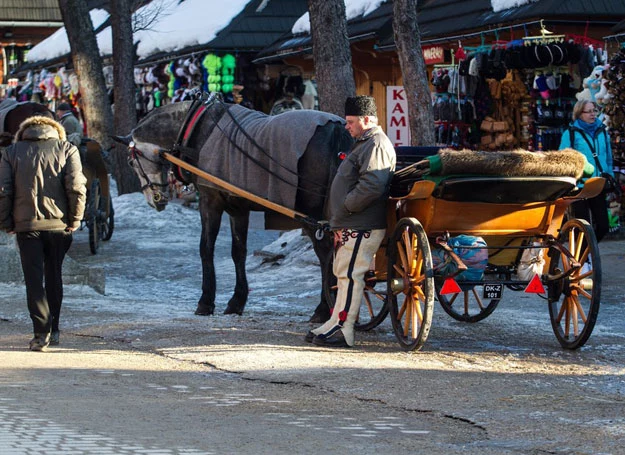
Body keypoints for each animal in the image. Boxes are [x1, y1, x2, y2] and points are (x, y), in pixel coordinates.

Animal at [115, 98, 354, 320]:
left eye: (130, 161)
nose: (155, 200)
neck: (196, 130)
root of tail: (335, 129)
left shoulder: (210, 201)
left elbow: (206, 248)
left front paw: (205, 302)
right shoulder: (237, 208)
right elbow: (238, 252)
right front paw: (236, 301)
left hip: (311, 214)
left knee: (325, 253)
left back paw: (323, 309)